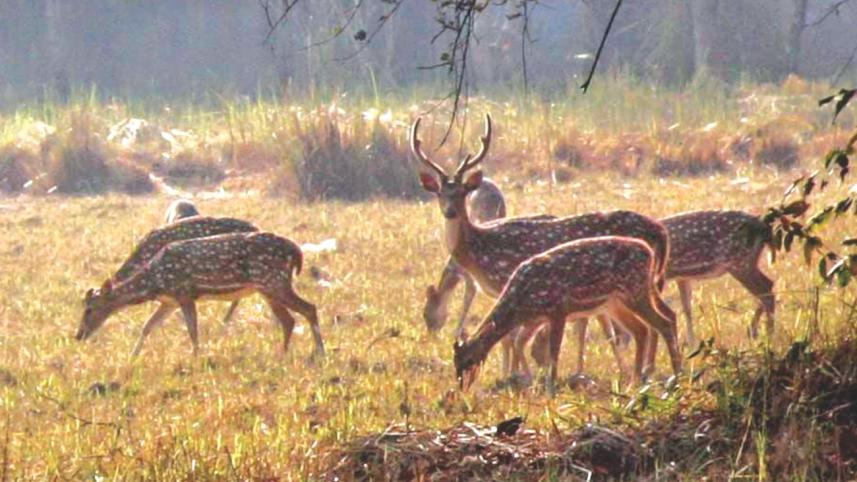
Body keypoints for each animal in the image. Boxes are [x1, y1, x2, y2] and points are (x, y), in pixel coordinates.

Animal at [76, 231, 325, 358]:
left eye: (89, 309)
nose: (79, 335)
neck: (154, 283)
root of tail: (297, 252)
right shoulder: (170, 301)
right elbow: (147, 326)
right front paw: (132, 357)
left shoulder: (185, 292)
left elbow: (193, 330)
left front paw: (196, 357)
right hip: (267, 287)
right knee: (289, 319)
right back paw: (283, 353)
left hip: (274, 280)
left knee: (309, 308)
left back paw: (320, 353)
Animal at [454, 236, 679, 389]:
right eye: (455, 362)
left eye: (470, 360)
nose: (462, 386)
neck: (521, 302)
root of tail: (650, 252)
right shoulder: (535, 320)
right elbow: (520, 343)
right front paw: (530, 382)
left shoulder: (558, 309)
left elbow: (554, 351)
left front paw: (550, 387)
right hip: (616, 302)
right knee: (645, 327)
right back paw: (637, 379)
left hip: (634, 291)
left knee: (662, 322)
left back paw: (674, 374)